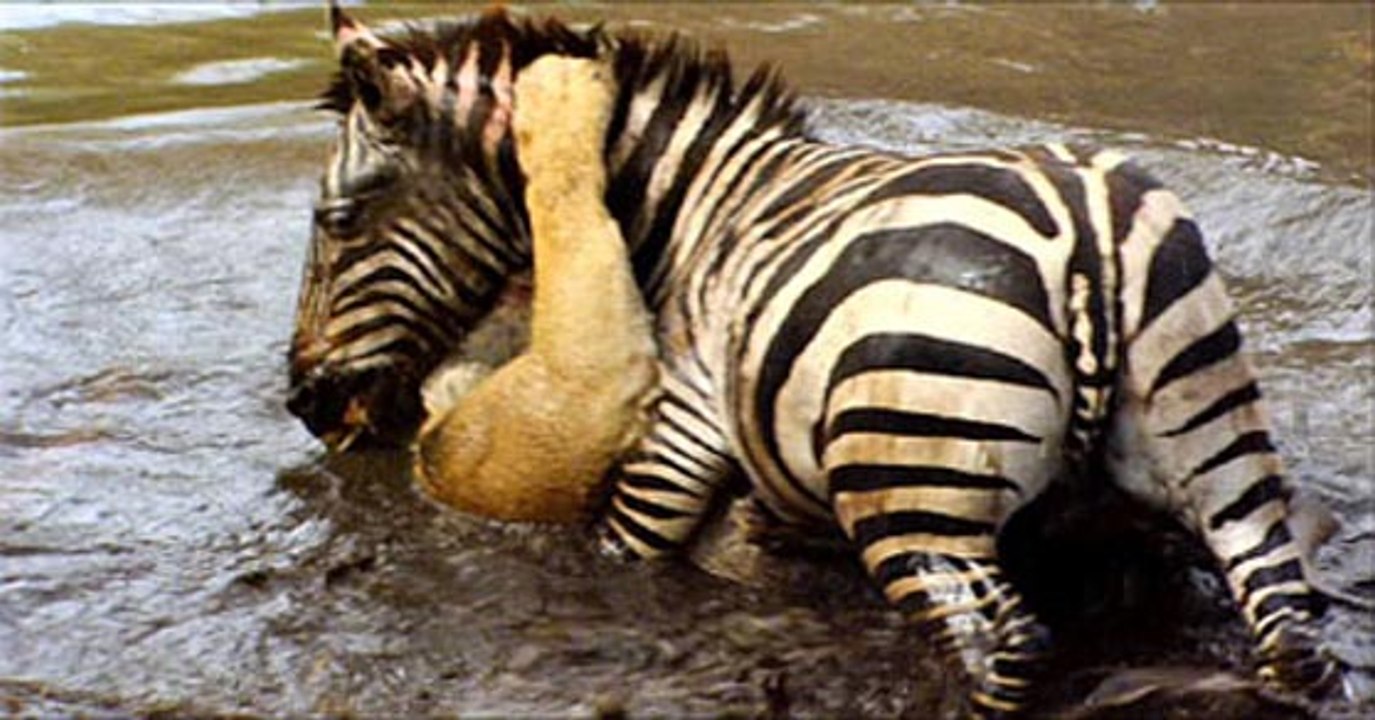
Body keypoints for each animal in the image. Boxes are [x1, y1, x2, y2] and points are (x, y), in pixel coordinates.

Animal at [285, 5, 1342, 716]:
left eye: (335, 219)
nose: (302, 400)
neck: (692, 216)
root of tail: (1080, 233)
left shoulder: (675, 447)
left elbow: (630, 558)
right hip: (1212, 439)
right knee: (1285, 624)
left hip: (915, 487)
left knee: (999, 647)